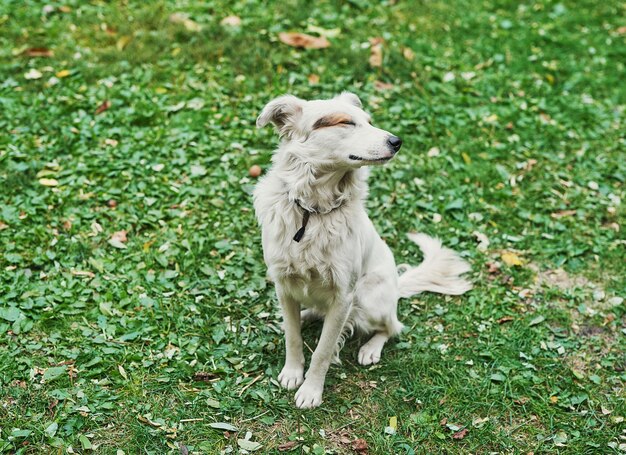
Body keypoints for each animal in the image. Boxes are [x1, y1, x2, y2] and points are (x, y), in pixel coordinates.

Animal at [251, 92, 470, 410]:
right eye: (345, 122)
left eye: (369, 121)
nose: (397, 141)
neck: (313, 212)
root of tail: (396, 286)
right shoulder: (284, 284)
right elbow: (293, 337)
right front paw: (292, 372)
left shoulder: (344, 296)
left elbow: (323, 350)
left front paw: (311, 390)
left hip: (368, 299)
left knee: (392, 326)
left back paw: (371, 349)